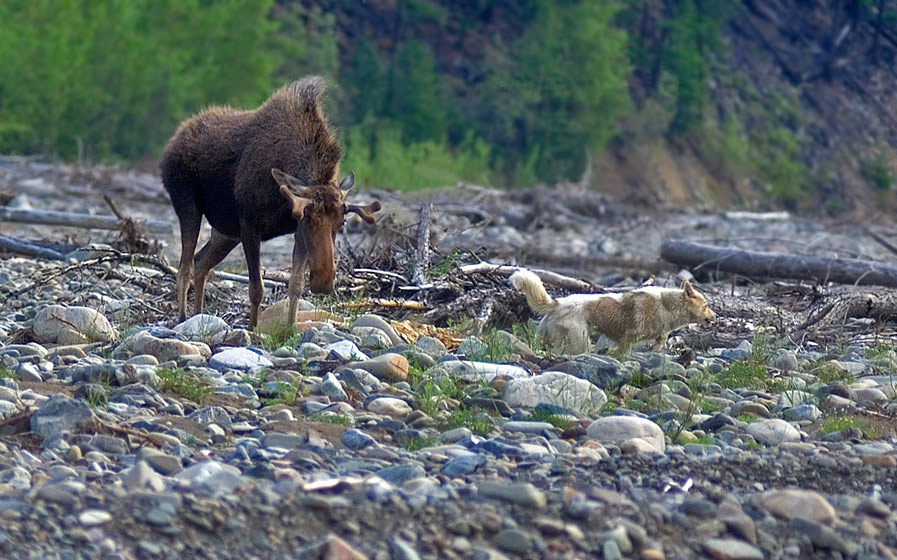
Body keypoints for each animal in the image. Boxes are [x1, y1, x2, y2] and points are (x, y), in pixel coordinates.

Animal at [161, 75, 378, 328]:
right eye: (311, 219)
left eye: (341, 223)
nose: (324, 281)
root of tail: (173, 141)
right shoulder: (250, 227)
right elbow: (257, 288)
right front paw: (252, 329)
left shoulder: (294, 230)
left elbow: (296, 284)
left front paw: (290, 328)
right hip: (188, 206)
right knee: (184, 267)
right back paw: (182, 318)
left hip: (226, 232)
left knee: (201, 261)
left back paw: (198, 315)